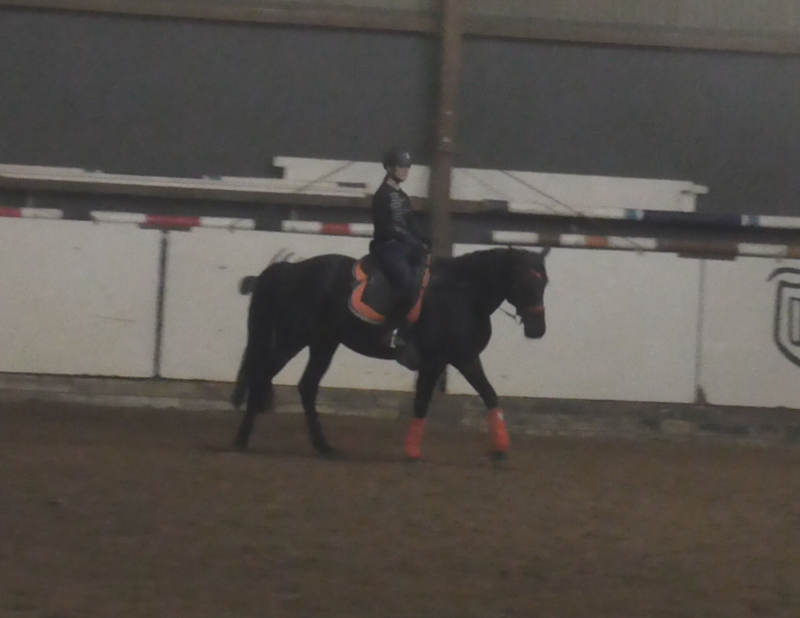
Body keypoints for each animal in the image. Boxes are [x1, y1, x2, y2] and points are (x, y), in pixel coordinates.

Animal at [231, 246, 549, 460]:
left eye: (544, 282)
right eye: (523, 280)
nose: (538, 329)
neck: (463, 293)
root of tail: (289, 270)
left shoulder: (465, 358)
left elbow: (490, 396)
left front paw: (501, 449)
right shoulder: (434, 362)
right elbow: (421, 403)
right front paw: (412, 451)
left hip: (323, 343)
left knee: (307, 387)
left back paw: (324, 446)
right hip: (293, 338)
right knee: (262, 377)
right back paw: (241, 440)